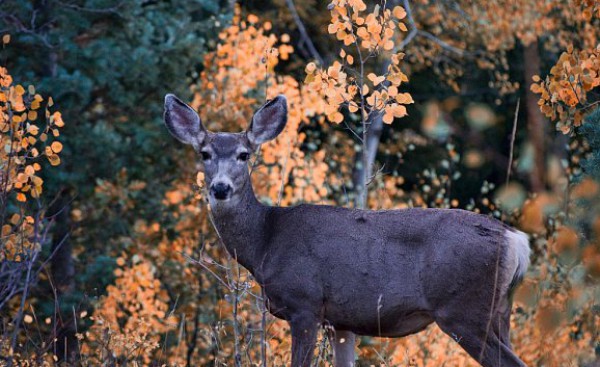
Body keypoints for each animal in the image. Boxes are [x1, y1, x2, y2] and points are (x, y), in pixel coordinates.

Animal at [163, 94, 528, 367]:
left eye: (243, 154)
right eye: (204, 153)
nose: (220, 188)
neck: (265, 241)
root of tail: (516, 240)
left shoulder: (305, 303)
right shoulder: (342, 321)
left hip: (463, 309)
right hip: (500, 312)